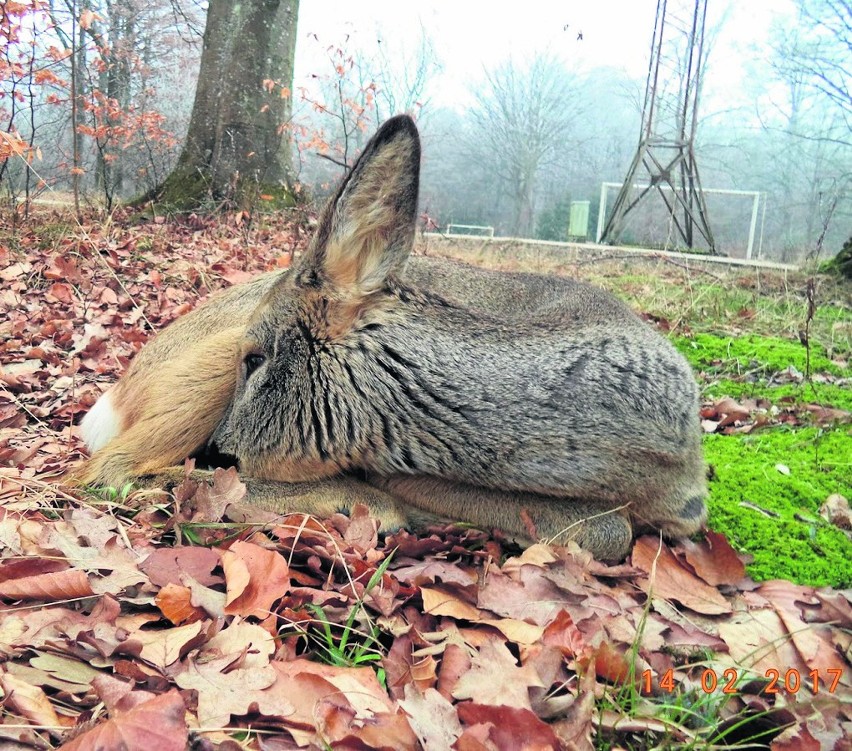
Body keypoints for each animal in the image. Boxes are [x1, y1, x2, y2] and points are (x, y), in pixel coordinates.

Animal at [78, 113, 704, 560]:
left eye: (256, 359)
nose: (215, 453)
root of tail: (123, 387)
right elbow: (607, 530)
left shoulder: (688, 506)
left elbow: (612, 530)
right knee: (103, 472)